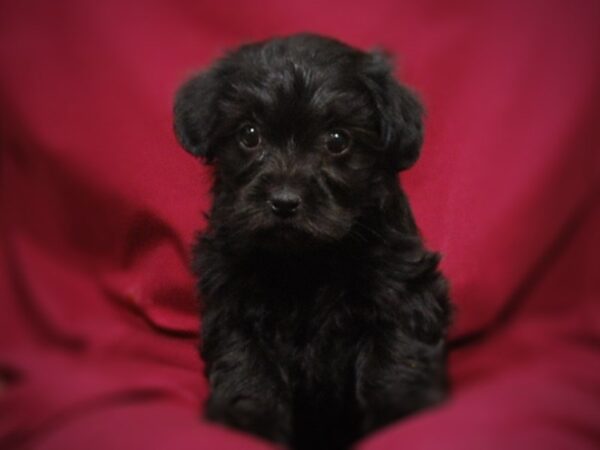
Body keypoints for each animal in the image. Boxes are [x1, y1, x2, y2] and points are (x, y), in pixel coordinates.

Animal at [173, 33, 450, 448]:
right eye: (249, 135)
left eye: (337, 140)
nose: (284, 202)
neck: (307, 260)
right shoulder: (232, 301)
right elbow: (245, 365)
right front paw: (246, 421)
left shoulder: (400, 290)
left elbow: (397, 359)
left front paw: (401, 415)